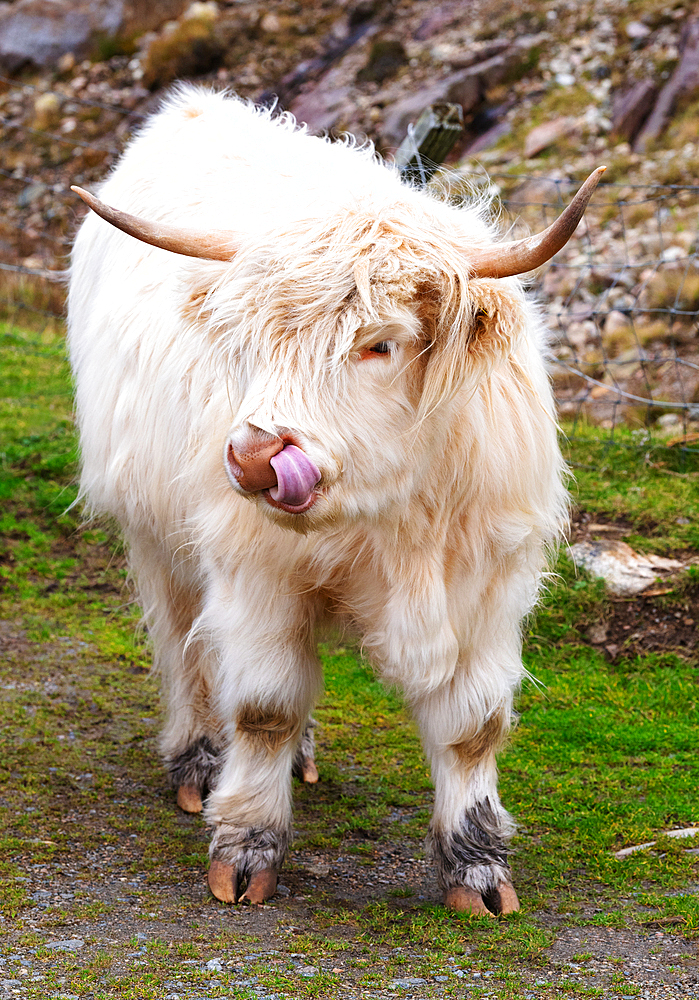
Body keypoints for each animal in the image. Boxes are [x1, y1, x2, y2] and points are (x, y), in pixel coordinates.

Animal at [71, 86, 604, 916]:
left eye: (379, 343)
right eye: (248, 341)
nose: (254, 457)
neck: (399, 517)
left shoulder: (488, 585)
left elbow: (473, 725)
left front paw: (478, 870)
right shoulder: (256, 572)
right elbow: (263, 707)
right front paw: (245, 851)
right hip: (156, 534)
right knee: (185, 645)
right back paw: (197, 762)